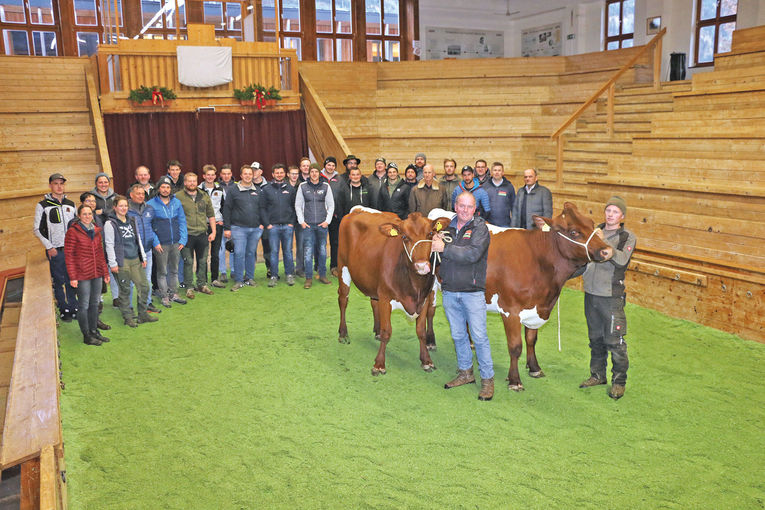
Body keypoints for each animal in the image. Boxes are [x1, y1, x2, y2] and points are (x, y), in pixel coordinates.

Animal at [338, 205, 450, 376]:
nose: (422, 266)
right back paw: (343, 333)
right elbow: (387, 331)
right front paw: (379, 364)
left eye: (430, 234)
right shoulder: (385, 298)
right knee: (343, 299)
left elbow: (421, 331)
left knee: (373, 302)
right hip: (342, 265)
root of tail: (358, 209)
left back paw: (376, 331)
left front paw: (426, 361)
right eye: (404, 237)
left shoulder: (424, 299)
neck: (414, 286)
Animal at [426, 202, 612, 390]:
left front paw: (534, 367)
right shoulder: (510, 310)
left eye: (591, 223)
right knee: (430, 312)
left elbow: (531, 339)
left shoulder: (536, 307)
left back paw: (470, 342)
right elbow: (515, 346)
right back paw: (430, 342)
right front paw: (514, 380)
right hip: (431, 285)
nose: (607, 250)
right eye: (574, 231)